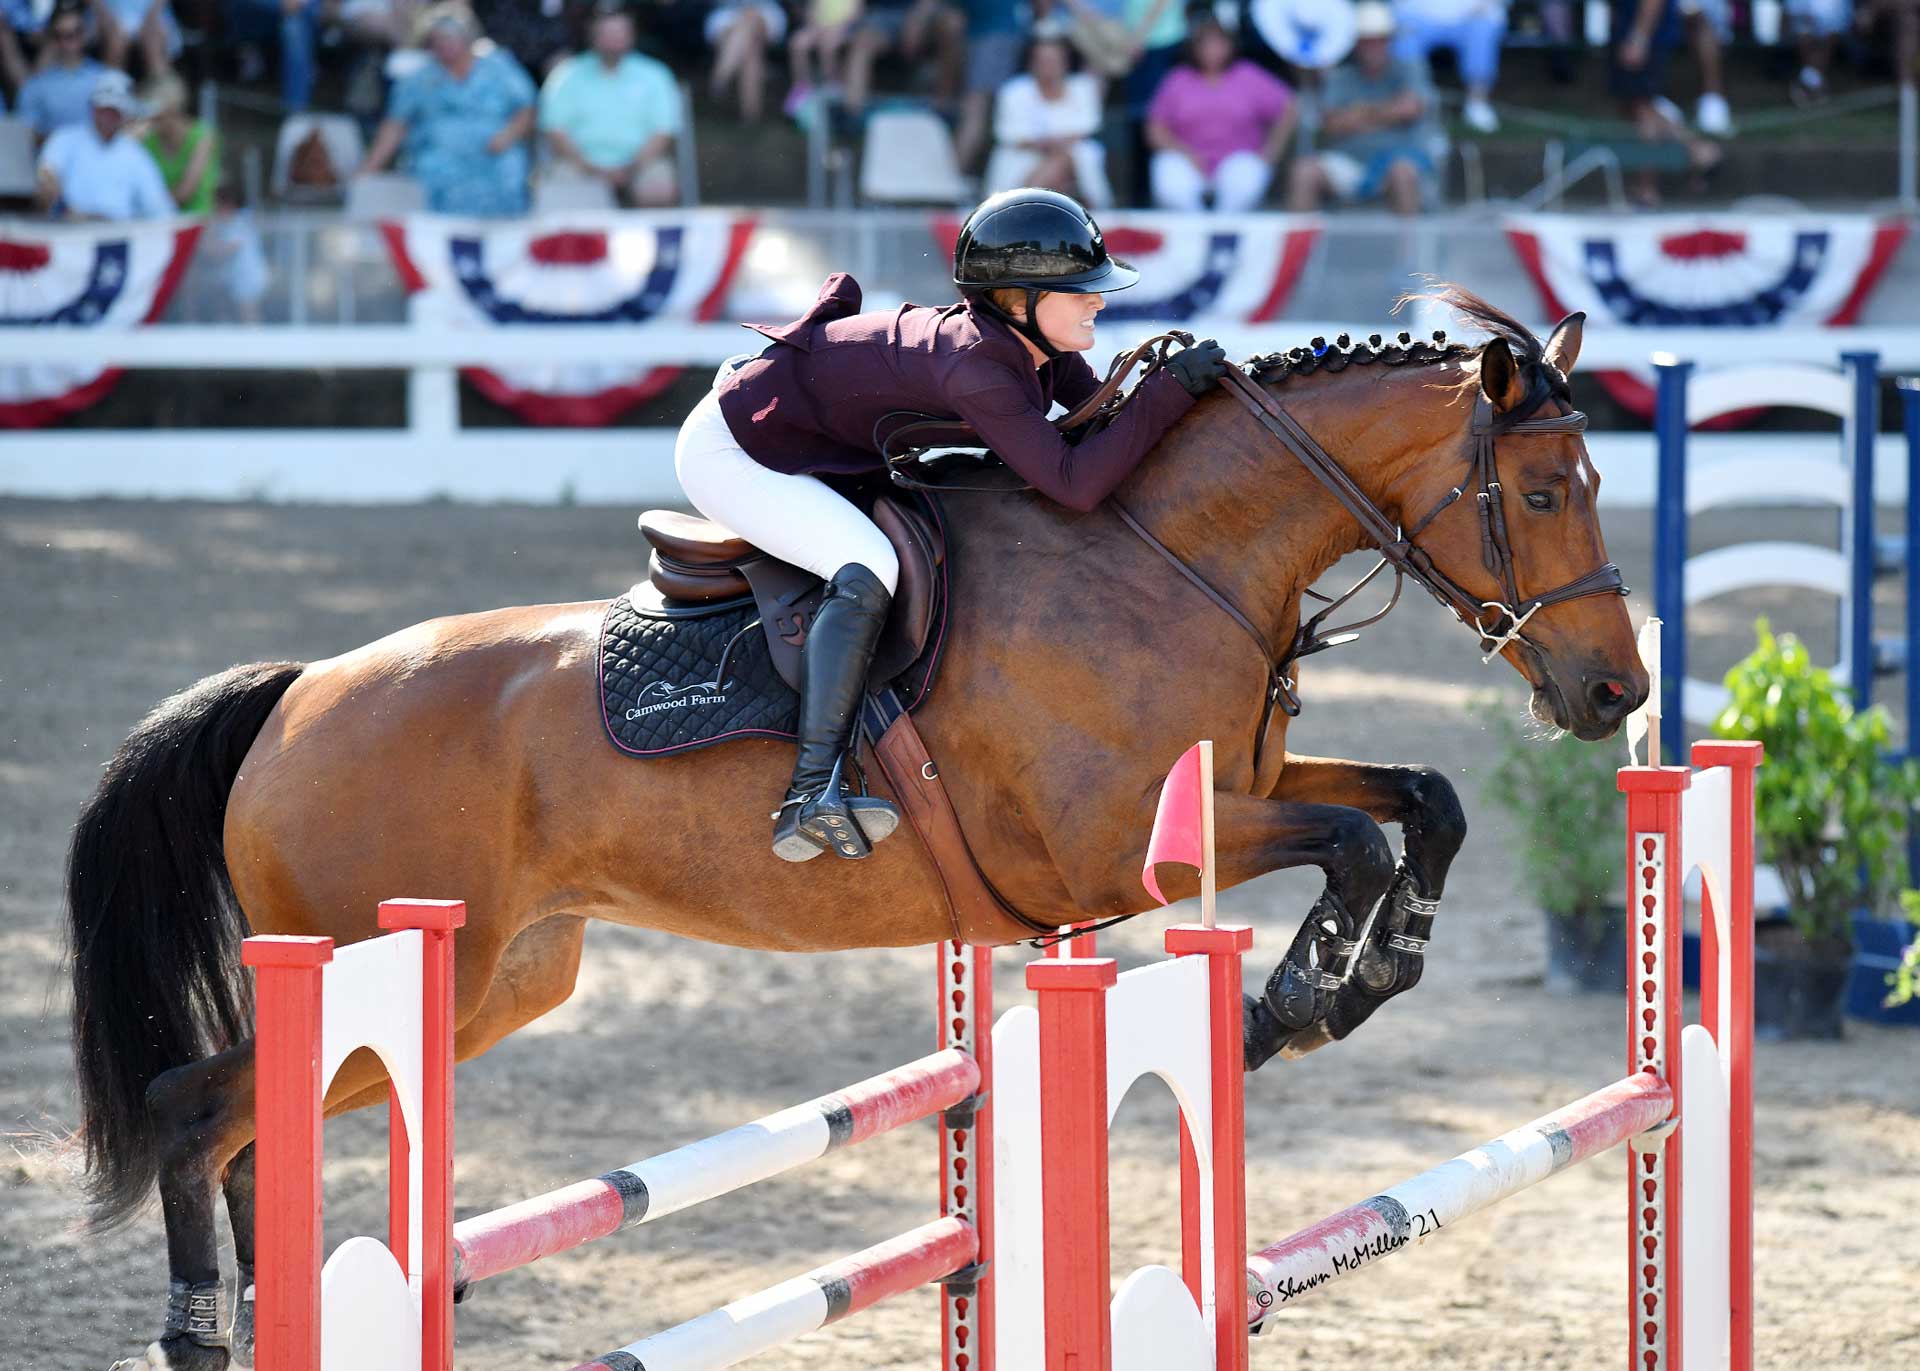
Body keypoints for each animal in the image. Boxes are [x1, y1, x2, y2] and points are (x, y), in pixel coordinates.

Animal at [67, 287, 1646, 1370]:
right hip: (387, 963)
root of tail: (297, 693)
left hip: (490, 984)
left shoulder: (1242, 784)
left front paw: (1374, 972)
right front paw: (1293, 1002)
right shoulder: (1116, 850)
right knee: (196, 1109)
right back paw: (197, 1325)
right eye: (1545, 489)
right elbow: (1359, 841)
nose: (1613, 693)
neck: (1170, 557)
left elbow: (1421, 802)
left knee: (254, 1127)